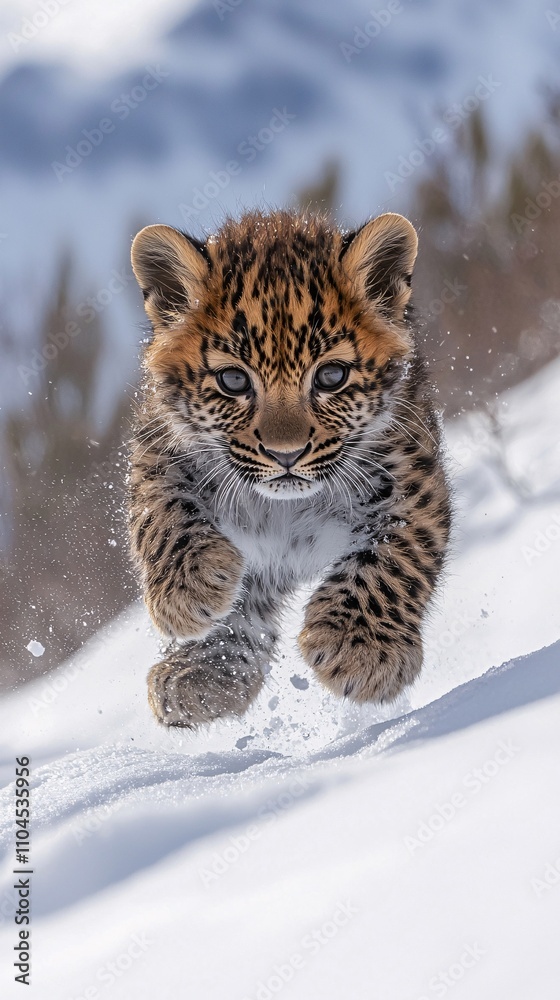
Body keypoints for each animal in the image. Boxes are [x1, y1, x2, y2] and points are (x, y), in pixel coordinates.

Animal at [128, 208, 451, 729]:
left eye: (331, 377)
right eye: (233, 380)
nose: (286, 454)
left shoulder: (409, 470)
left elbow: (396, 555)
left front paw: (360, 649)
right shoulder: (160, 443)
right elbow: (160, 513)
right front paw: (187, 597)